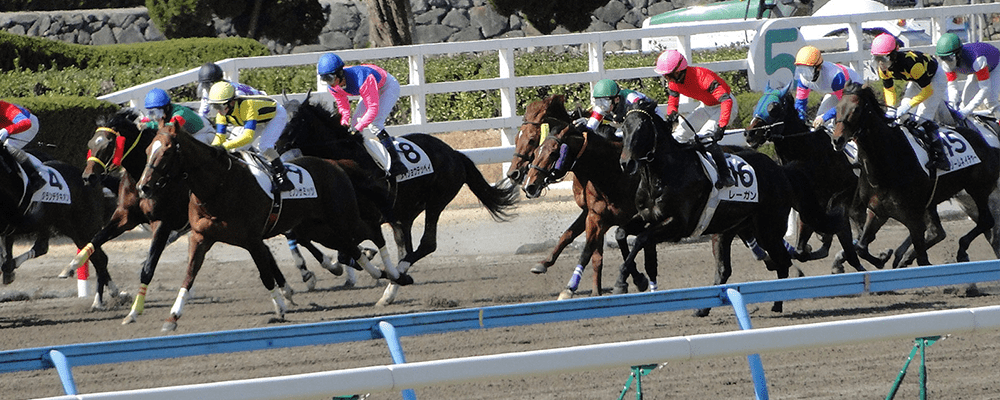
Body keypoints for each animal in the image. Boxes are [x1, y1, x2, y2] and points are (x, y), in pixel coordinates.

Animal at [136, 122, 410, 332]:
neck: (219, 186)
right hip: (318, 229)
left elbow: (265, 274)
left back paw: (394, 274)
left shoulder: (252, 239)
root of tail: (336, 164)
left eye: (166, 152)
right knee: (351, 247)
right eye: (148, 149)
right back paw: (379, 273)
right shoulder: (200, 237)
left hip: (343, 218)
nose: (143, 187)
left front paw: (280, 307)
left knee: (372, 232)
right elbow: (189, 275)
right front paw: (172, 317)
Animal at [278, 100, 520, 306]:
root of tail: (455, 153)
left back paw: (398, 275)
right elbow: (314, 241)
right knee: (407, 248)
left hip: (437, 200)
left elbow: (345, 250)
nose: (277, 146)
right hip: (404, 216)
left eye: (296, 120)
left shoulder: (362, 220)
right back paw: (390, 291)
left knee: (427, 244)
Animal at [520, 123, 660, 298]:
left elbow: (617, 245)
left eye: (553, 153)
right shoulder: (595, 215)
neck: (614, 174)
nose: (529, 186)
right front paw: (545, 264)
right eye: (536, 151)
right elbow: (575, 240)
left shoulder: (632, 217)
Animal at [616, 100, 836, 316]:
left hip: (768, 229)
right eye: (624, 129)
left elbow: (641, 238)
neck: (662, 175)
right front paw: (637, 279)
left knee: (782, 261)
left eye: (642, 128)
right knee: (725, 270)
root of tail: (780, 170)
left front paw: (623, 281)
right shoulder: (647, 216)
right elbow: (621, 233)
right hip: (730, 229)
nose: (626, 163)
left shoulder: (677, 224)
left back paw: (777, 303)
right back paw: (703, 308)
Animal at [828, 83, 1000, 268]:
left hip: (978, 190)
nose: (837, 140)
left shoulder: (913, 218)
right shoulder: (878, 212)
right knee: (944, 231)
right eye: (837, 108)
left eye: (856, 109)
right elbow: (861, 247)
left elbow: (922, 258)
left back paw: (961, 250)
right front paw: (882, 257)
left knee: (987, 221)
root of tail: (987, 144)